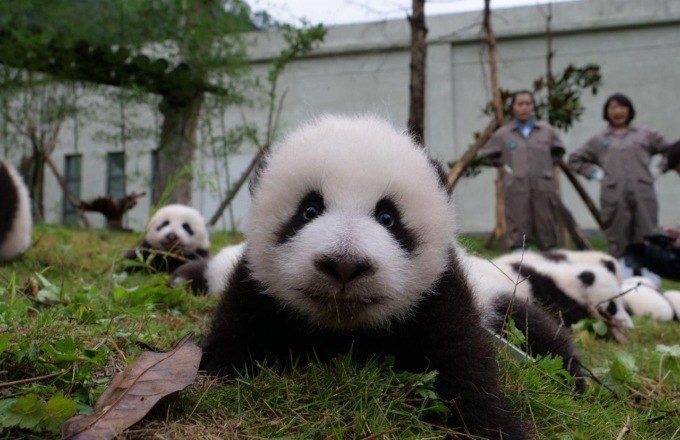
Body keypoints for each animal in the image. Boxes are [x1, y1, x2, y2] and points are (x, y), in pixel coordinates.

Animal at [200, 114, 527, 439]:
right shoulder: (256, 289)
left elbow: (462, 364)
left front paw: (491, 425)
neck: (345, 330)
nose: (344, 266)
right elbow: (233, 337)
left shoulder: (439, 294)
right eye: (309, 210)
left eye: (388, 217)